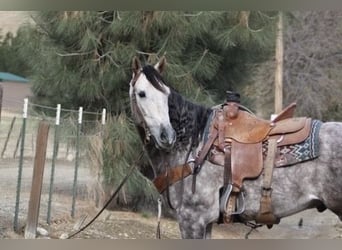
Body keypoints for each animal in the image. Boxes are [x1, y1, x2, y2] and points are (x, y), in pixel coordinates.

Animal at [128, 56, 342, 238]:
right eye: (141, 94)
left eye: (165, 95)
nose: (167, 135)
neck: (192, 144)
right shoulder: (205, 223)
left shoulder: (192, 220)